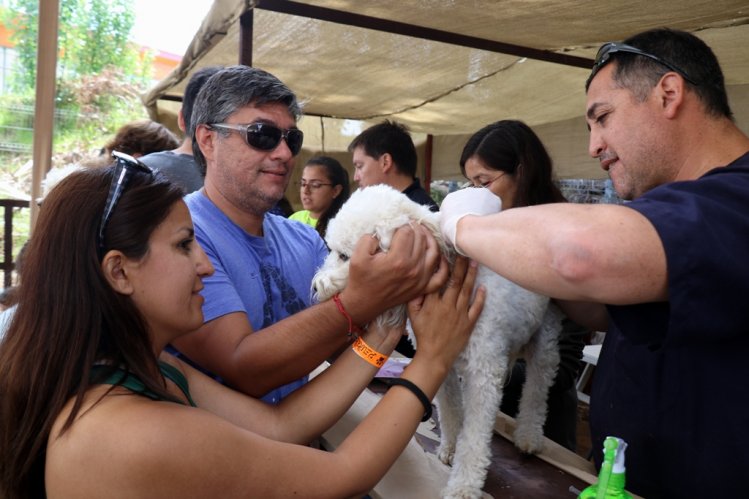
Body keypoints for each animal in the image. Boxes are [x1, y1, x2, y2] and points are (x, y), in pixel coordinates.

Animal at [310, 186, 560, 498]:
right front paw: (451, 448)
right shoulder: (443, 362)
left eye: (344, 256)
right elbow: (451, 410)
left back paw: (529, 435)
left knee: (537, 390)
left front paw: (464, 486)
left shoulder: (484, 371)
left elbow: (475, 435)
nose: (315, 286)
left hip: (546, 339)